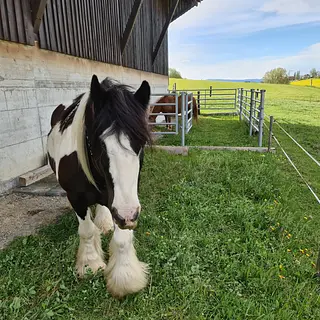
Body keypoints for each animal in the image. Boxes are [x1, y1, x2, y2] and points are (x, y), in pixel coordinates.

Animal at [47, 75, 152, 298]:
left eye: (141, 143)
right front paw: (90, 265)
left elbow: (122, 238)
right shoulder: (76, 198)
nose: (127, 216)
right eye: (100, 144)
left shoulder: (123, 201)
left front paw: (125, 277)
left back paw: (104, 222)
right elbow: (86, 230)